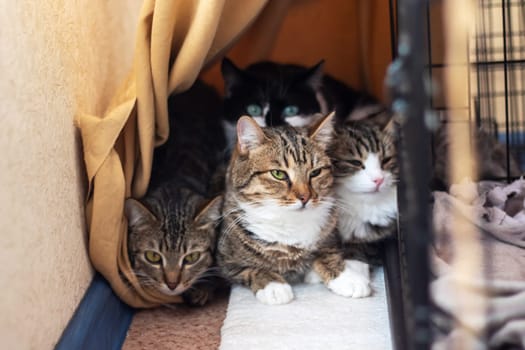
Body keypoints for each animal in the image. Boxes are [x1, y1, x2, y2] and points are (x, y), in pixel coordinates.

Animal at [215, 113, 370, 304]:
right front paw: (274, 286)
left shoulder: (328, 237)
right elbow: (251, 269)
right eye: (278, 174)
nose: (305, 197)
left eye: (315, 172)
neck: (289, 221)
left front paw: (348, 278)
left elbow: (328, 255)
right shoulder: (225, 261)